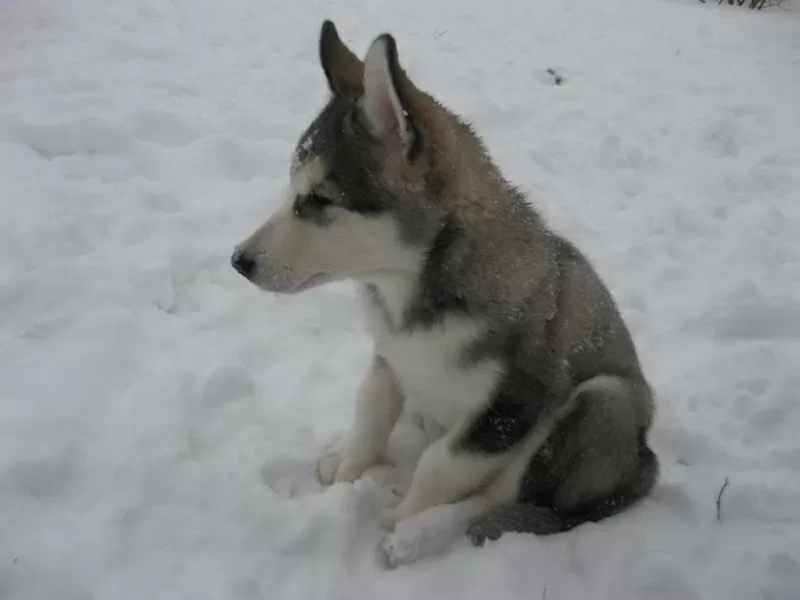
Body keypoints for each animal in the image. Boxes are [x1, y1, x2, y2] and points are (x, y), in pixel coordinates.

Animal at [230, 21, 656, 564]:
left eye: (320, 199)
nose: (239, 260)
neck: (412, 288)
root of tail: (644, 466)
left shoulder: (511, 407)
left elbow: (441, 464)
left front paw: (402, 517)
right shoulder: (391, 352)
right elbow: (371, 407)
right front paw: (349, 463)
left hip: (603, 403)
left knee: (503, 499)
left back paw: (418, 535)